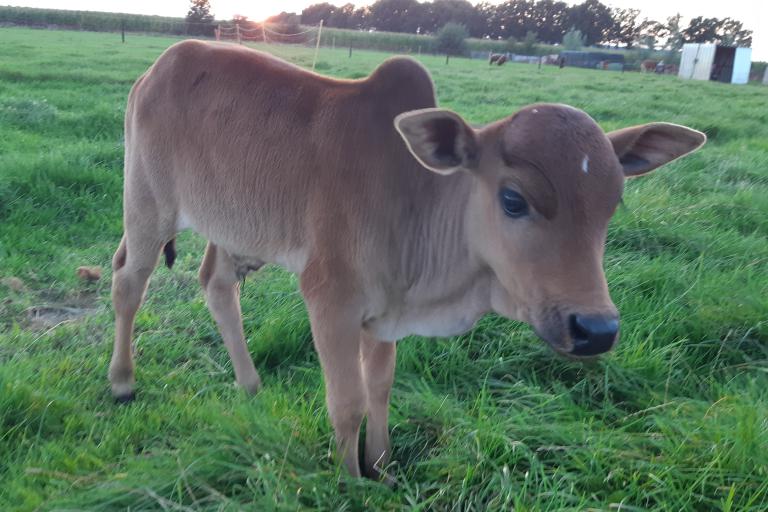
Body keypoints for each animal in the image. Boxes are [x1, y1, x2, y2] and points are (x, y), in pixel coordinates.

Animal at [109, 39, 708, 480]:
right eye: (513, 200)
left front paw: (381, 464)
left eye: (614, 202)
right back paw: (122, 382)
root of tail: (157, 67)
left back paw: (251, 387)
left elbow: (380, 388)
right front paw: (349, 479)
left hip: (237, 229)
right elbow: (346, 400)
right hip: (147, 206)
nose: (596, 329)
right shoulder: (330, 299)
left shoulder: (387, 311)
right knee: (128, 283)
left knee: (216, 285)